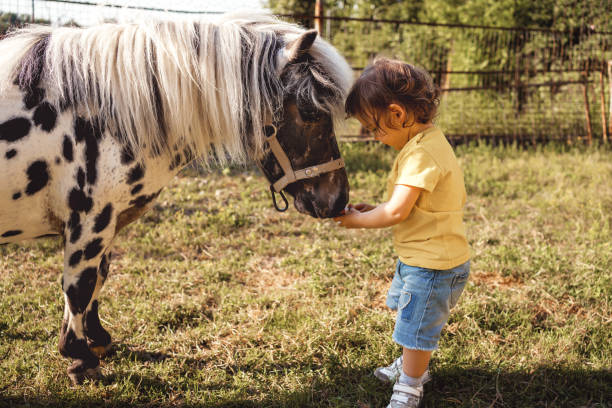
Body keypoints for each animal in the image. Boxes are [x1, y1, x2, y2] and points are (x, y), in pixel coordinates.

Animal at [0, 11, 352, 382]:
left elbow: (99, 276)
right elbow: (79, 286)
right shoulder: (89, 222)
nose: (338, 199)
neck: (99, 115)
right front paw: (79, 357)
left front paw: (97, 340)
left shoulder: (104, 224)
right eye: (311, 113)